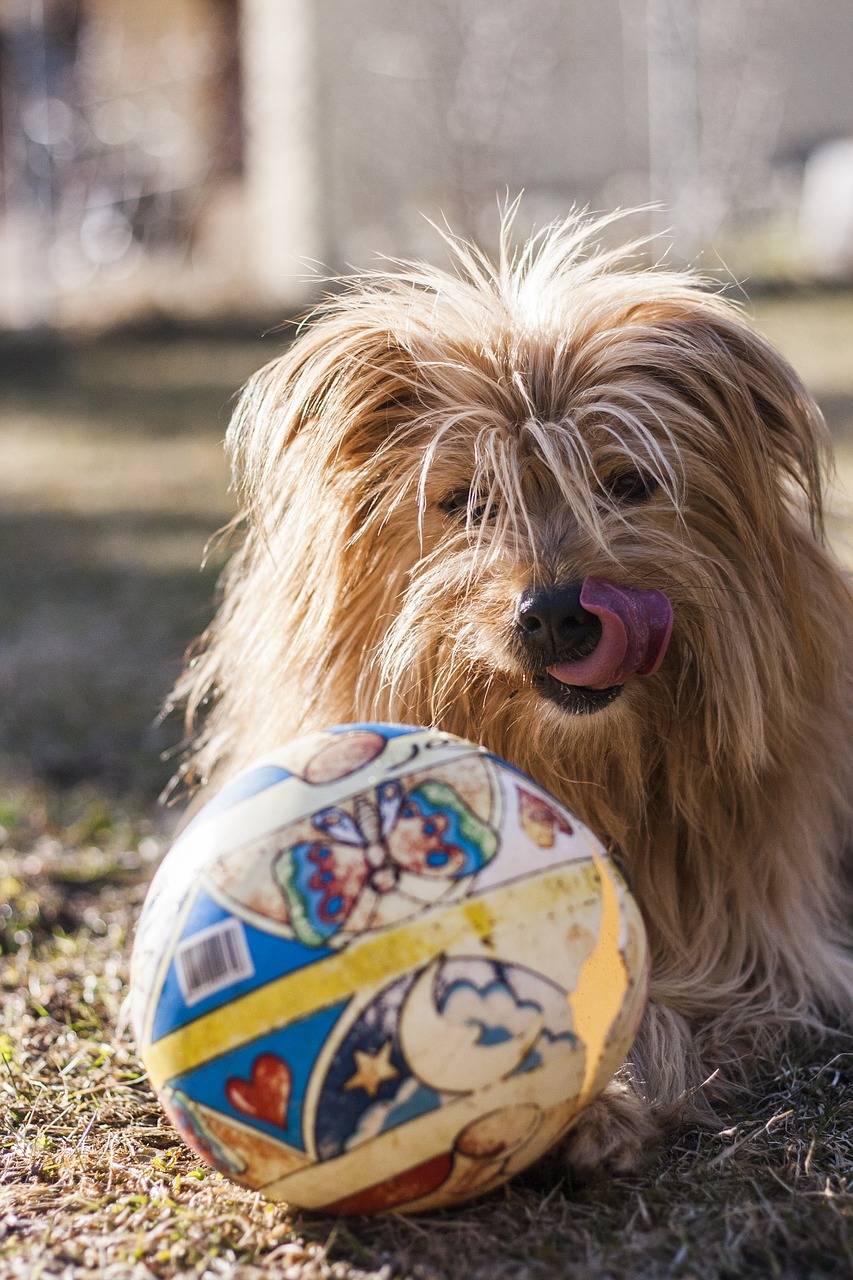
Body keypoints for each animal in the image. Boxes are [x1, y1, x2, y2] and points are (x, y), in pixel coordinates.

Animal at [172, 215, 850, 1172]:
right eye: (465, 502)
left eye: (626, 484)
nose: (559, 614)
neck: (580, 767)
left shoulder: (758, 953)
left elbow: (666, 996)